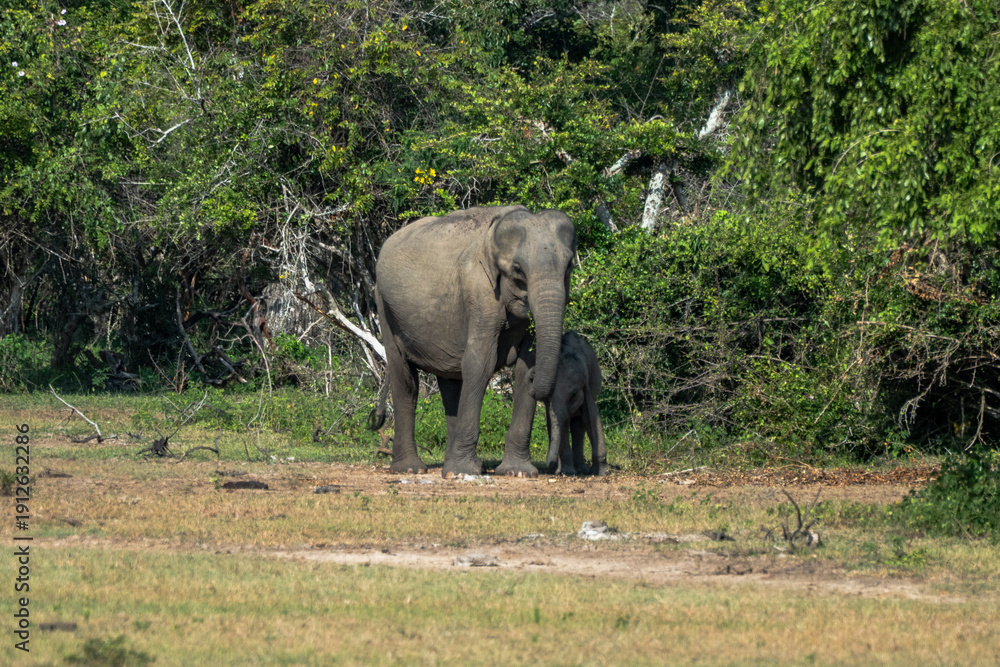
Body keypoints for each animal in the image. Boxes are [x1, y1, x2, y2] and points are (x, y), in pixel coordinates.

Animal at [374, 205, 577, 478]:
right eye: (518, 270)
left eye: (569, 267)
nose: (537, 378)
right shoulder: (480, 292)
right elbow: (480, 362)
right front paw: (463, 472)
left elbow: (525, 365)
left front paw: (517, 472)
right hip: (384, 305)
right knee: (404, 377)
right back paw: (411, 469)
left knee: (450, 381)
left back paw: (453, 466)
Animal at [538, 331, 608, 476]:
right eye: (547, 397)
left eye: (574, 394)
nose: (549, 465)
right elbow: (559, 423)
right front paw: (567, 472)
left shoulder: (587, 385)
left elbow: (590, 417)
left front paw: (602, 473)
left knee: (579, 423)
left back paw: (582, 470)